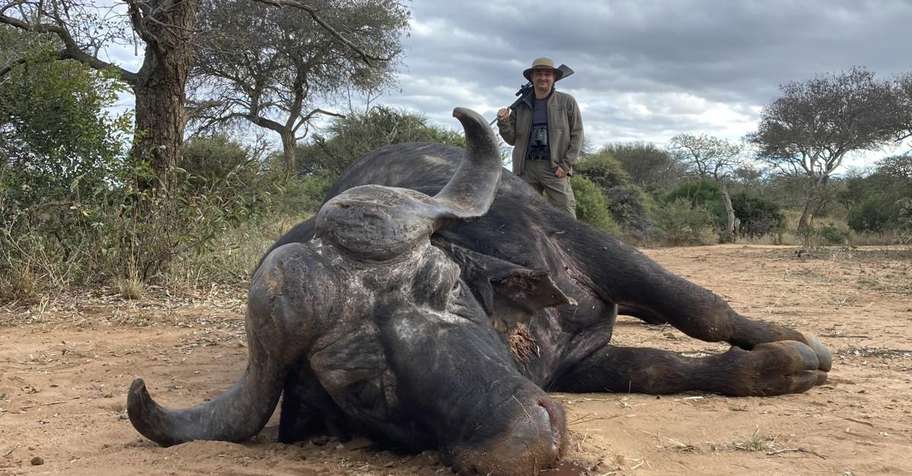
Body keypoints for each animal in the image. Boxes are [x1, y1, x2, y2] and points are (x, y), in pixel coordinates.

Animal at [127, 107, 831, 475]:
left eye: (444, 288)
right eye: (366, 390)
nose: (526, 442)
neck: (525, 332)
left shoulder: (592, 250)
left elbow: (700, 307)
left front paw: (793, 345)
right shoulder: (577, 367)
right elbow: (659, 370)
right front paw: (774, 366)